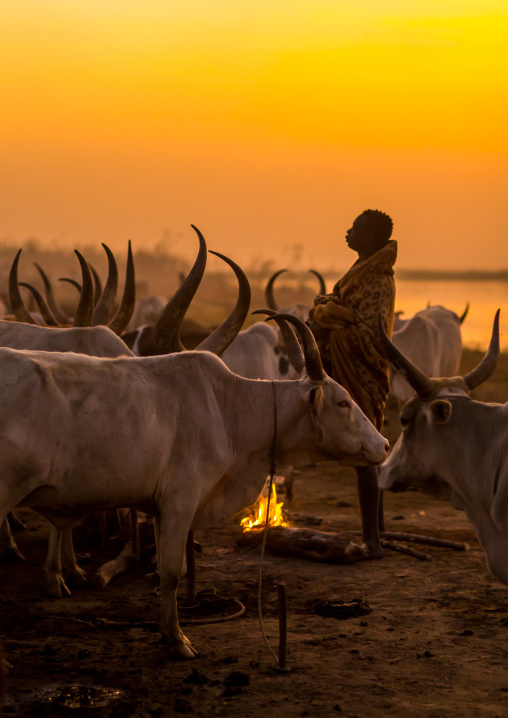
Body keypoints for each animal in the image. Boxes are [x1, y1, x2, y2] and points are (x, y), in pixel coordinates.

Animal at [0, 310, 388, 659]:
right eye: (343, 402)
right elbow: (171, 573)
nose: (383, 445)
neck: (228, 409)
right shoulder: (179, 503)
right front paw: (176, 641)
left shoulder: (159, 508)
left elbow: (169, 570)